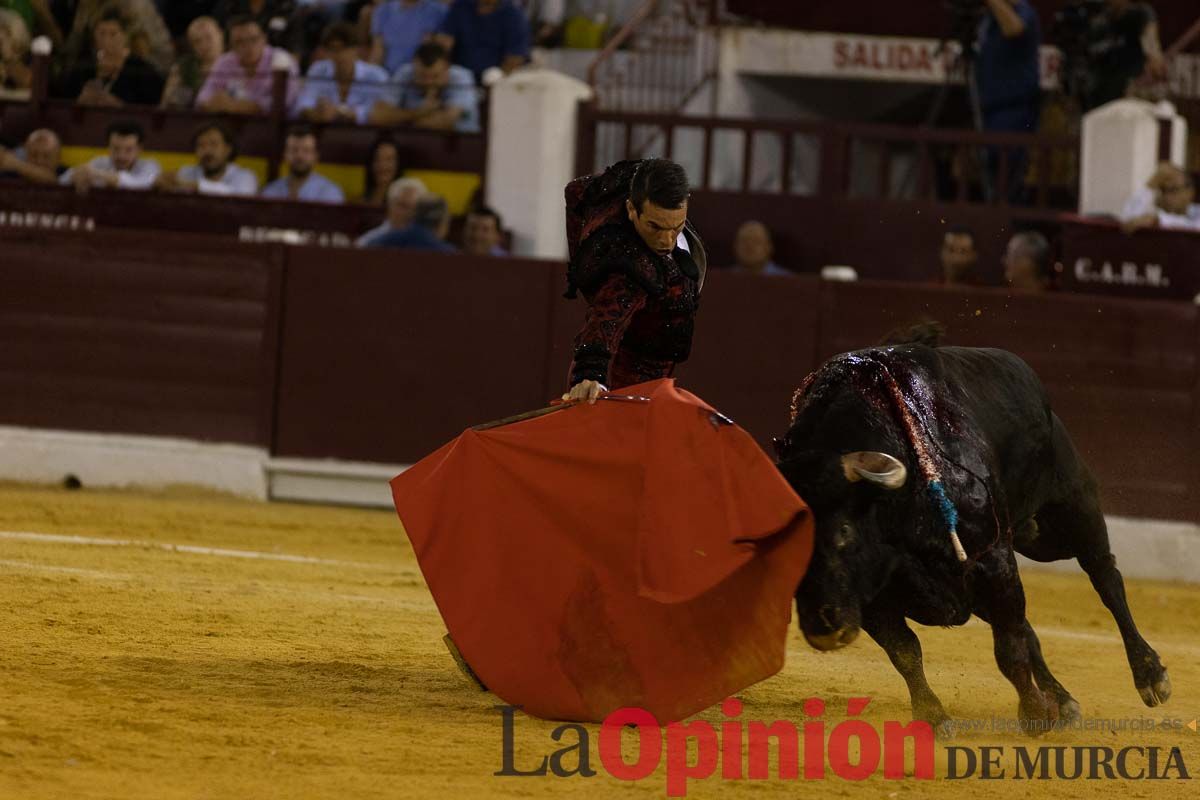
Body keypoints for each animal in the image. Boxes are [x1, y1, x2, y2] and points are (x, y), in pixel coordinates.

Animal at [777, 333, 1171, 738]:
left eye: (843, 530)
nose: (823, 628)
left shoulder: (992, 562)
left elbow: (1009, 651)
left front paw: (1034, 715)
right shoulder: (873, 599)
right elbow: (906, 652)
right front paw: (934, 717)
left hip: (1066, 514)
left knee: (1104, 577)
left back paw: (1149, 675)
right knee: (1029, 625)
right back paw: (1063, 702)